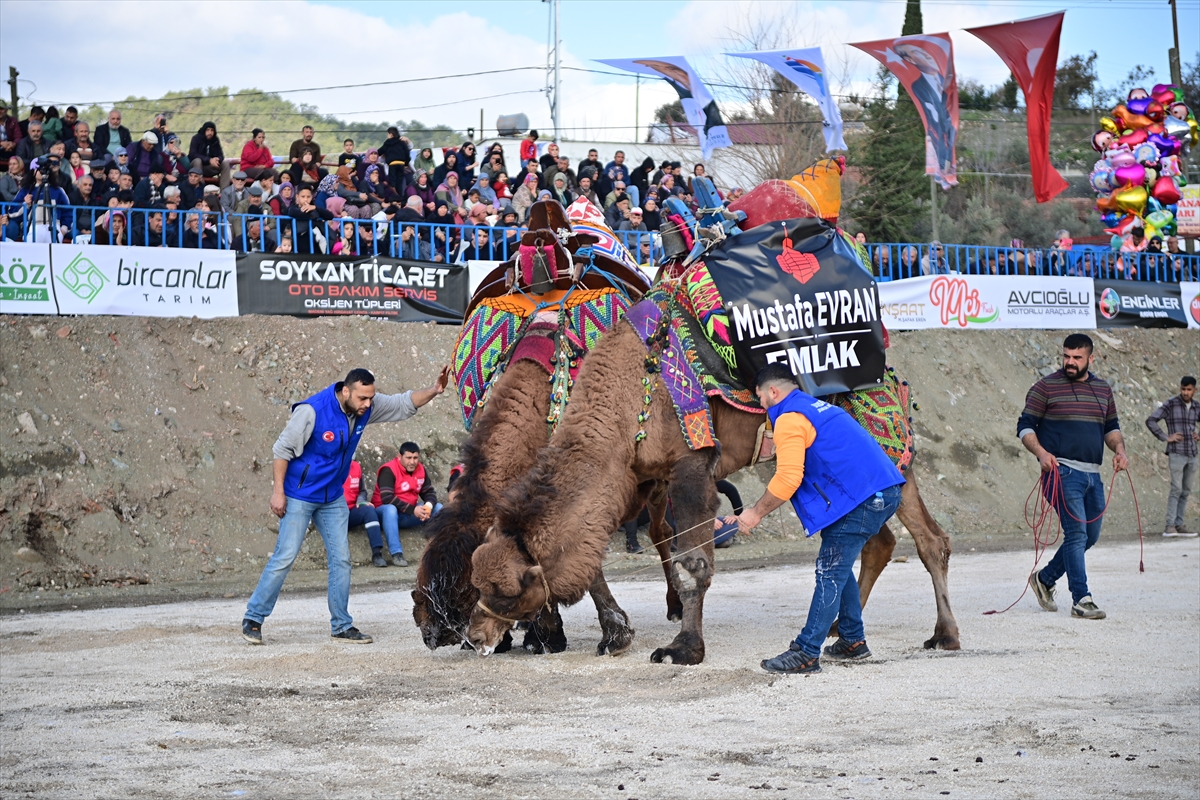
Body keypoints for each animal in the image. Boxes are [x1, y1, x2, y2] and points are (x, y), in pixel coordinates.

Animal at [463, 319, 960, 662]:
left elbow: (693, 564)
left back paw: (945, 635)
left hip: (887, 447)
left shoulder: (693, 465)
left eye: (505, 592)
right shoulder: (637, 480)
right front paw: (616, 635)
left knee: (926, 538)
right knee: (879, 539)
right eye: (474, 584)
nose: (474, 636)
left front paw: (682, 648)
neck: (626, 404)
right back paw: (842, 630)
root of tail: (892, 378)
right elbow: (603, 559)